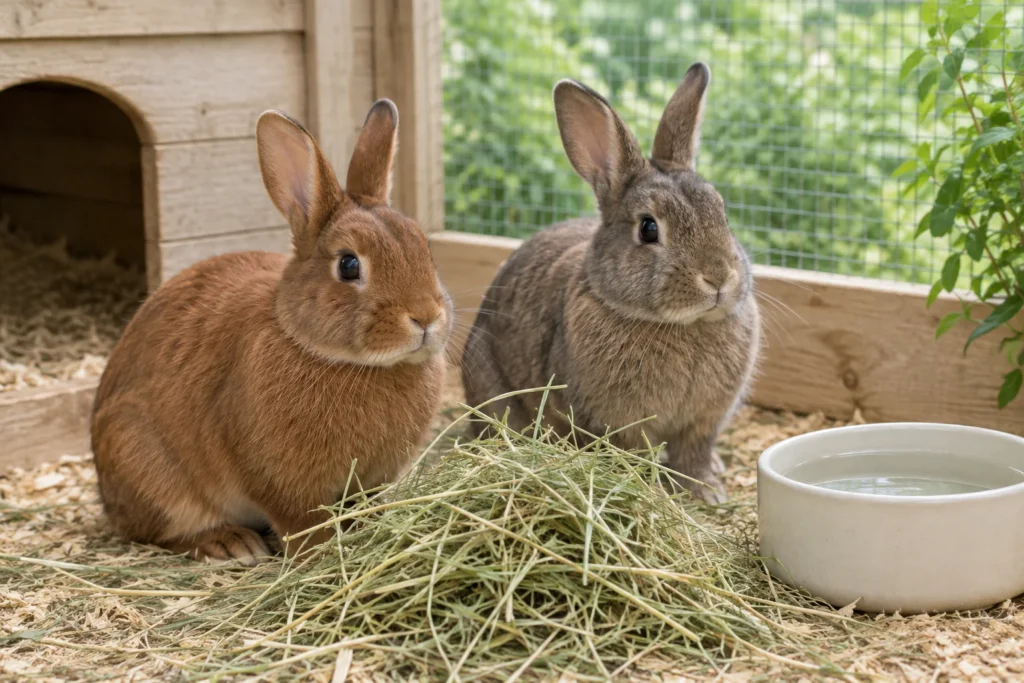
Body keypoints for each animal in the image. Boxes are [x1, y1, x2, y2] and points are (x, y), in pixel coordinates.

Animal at [91, 100, 453, 564]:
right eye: (349, 265)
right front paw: (319, 556)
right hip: (142, 462)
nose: (425, 317)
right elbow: (303, 524)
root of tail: (107, 495)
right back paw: (229, 543)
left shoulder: (369, 480)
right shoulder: (281, 483)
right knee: (159, 531)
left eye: (425, 249)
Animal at [460, 63, 760, 503]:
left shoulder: (703, 422)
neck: (680, 325)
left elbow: (694, 455)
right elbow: (634, 456)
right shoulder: (617, 425)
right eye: (649, 229)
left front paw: (706, 492)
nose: (718, 277)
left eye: (721, 212)